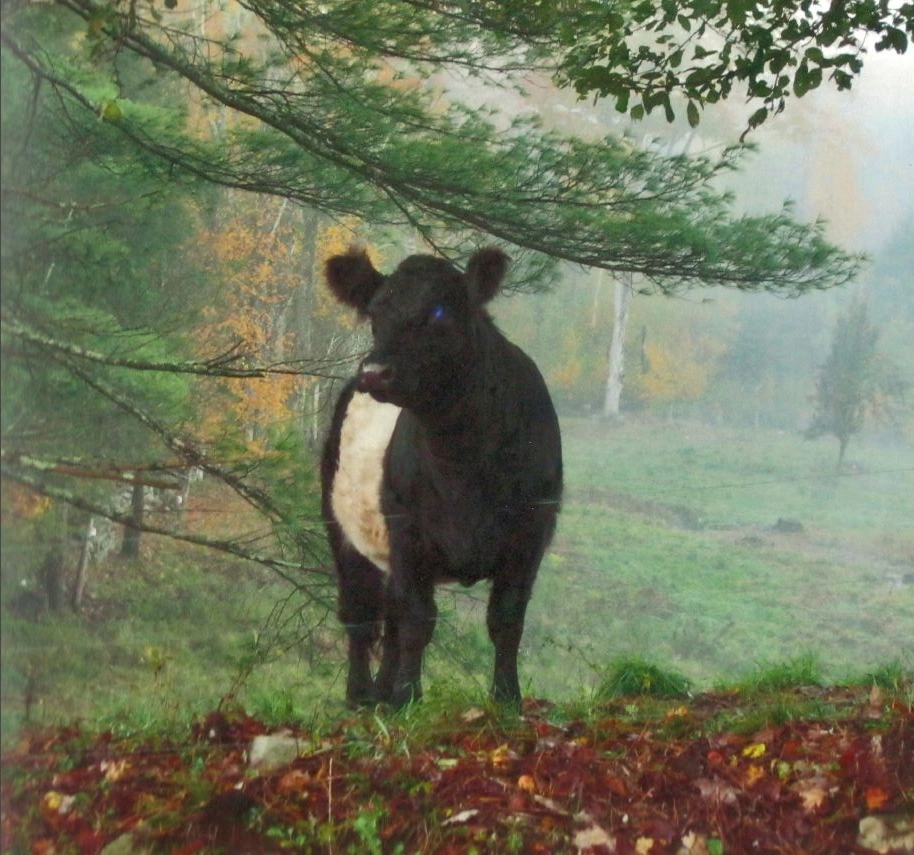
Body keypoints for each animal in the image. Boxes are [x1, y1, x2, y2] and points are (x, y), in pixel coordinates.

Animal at [320, 246, 562, 709]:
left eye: (437, 312)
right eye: (375, 313)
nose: (374, 371)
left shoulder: (531, 532)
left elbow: (507, 619)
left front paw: (507, 698)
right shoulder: (408, 530)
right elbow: (418, 620)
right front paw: (407, 698)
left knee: (389, 616)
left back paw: (381, 693)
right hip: (341, 528)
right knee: (361, 615)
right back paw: (361, 697)